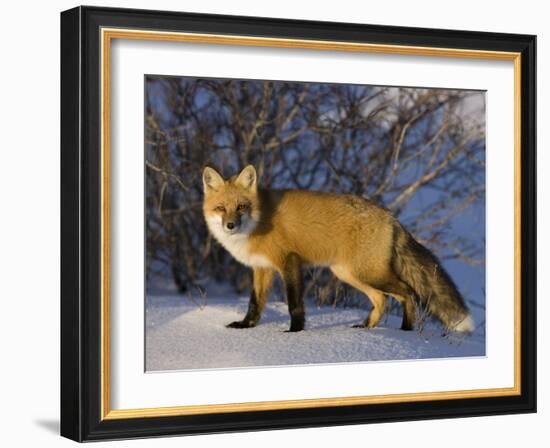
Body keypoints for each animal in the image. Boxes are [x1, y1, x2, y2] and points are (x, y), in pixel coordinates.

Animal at [203, 164, 474, 332]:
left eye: (241, 207)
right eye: (221, 208)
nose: (230, 225)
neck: (258, 222)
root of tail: (391, 217)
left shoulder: (289, 262)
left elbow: (294, 304)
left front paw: (294, 332)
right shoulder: (262, 268)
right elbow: (255, 304)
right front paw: (245, 327)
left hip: (367, 273)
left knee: (407, 293)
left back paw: (405, 331)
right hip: (349, 274)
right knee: (382, 299)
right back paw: (366, 328)